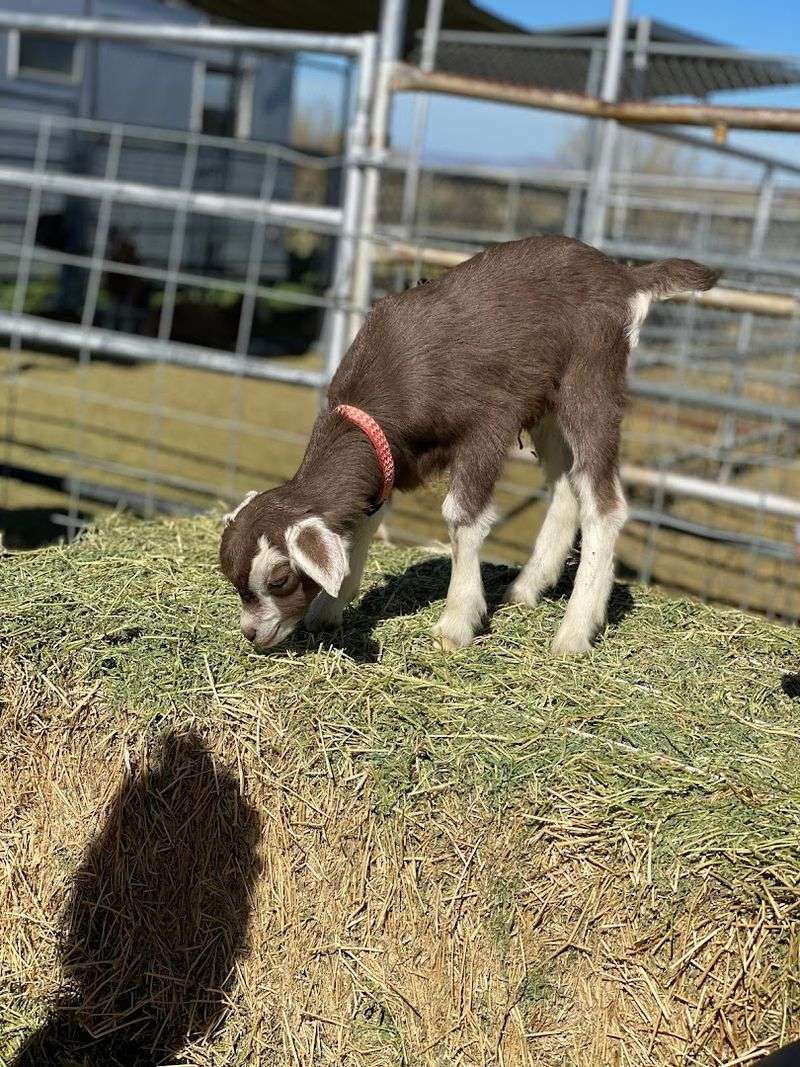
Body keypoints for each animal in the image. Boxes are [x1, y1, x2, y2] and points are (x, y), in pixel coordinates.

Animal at [219, 235, 718, 654]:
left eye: (280, 578)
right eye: (232, 577)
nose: (252, 633)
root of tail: (626, 276)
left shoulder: (487, 426)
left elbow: (461, 517)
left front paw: (456, 622)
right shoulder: (388, 461)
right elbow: (362, 519)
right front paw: (328, 610)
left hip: (591, 379)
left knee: (604, 501)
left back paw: (574, 633)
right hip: (546, 403)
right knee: (565, 487)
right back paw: (527, 588)